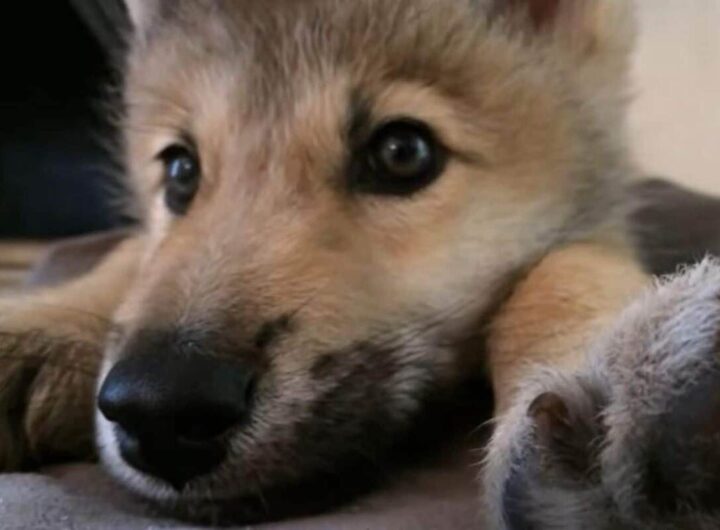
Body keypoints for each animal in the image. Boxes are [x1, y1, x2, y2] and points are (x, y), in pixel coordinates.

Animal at [1, 0, 720, 527]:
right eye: (181, 172)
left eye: (403, 153)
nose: (157, 410)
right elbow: (131, 251)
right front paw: (44, 325)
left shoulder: (592, 232)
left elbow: (563, 270)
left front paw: (614, 376)